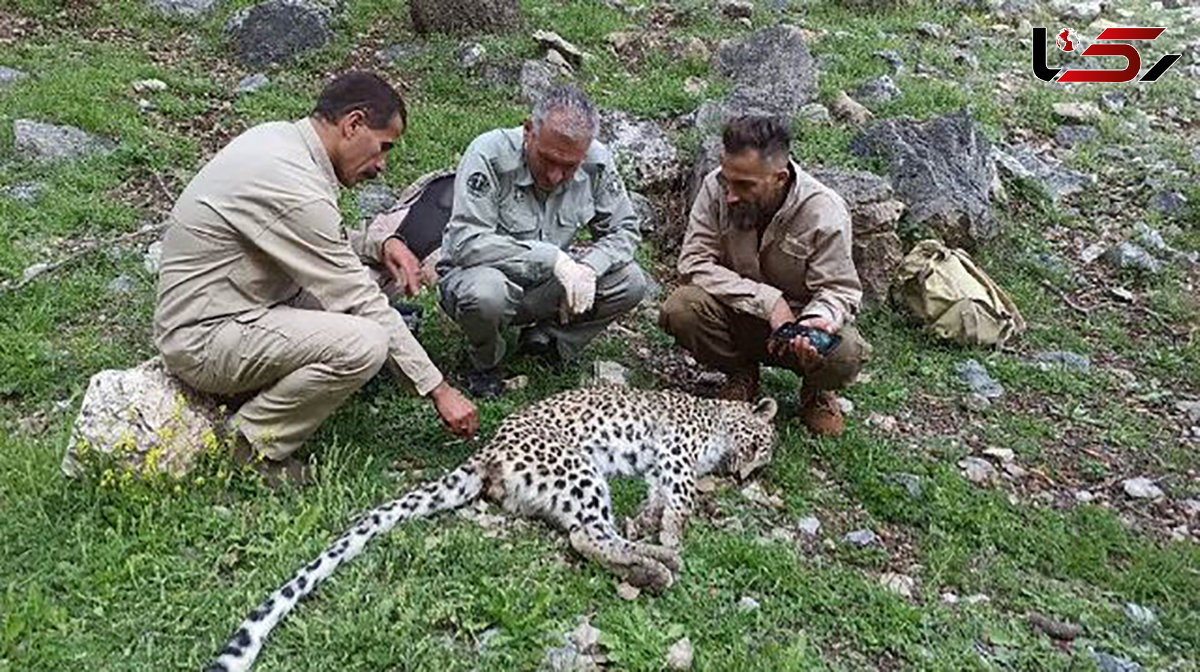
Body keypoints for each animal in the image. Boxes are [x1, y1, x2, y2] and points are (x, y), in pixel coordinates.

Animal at [206, 386, 777, 667]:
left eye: (762, 462)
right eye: (761, 445)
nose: (744, 476)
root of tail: (493, 449)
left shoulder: (662, 469)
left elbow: (658, 500)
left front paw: (652, 523)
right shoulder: (676, 454)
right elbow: (679, 500)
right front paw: (674, 534)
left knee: (589, 534)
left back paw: (648, 560)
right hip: (579, 468)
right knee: (586, 535)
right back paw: (660, 565)